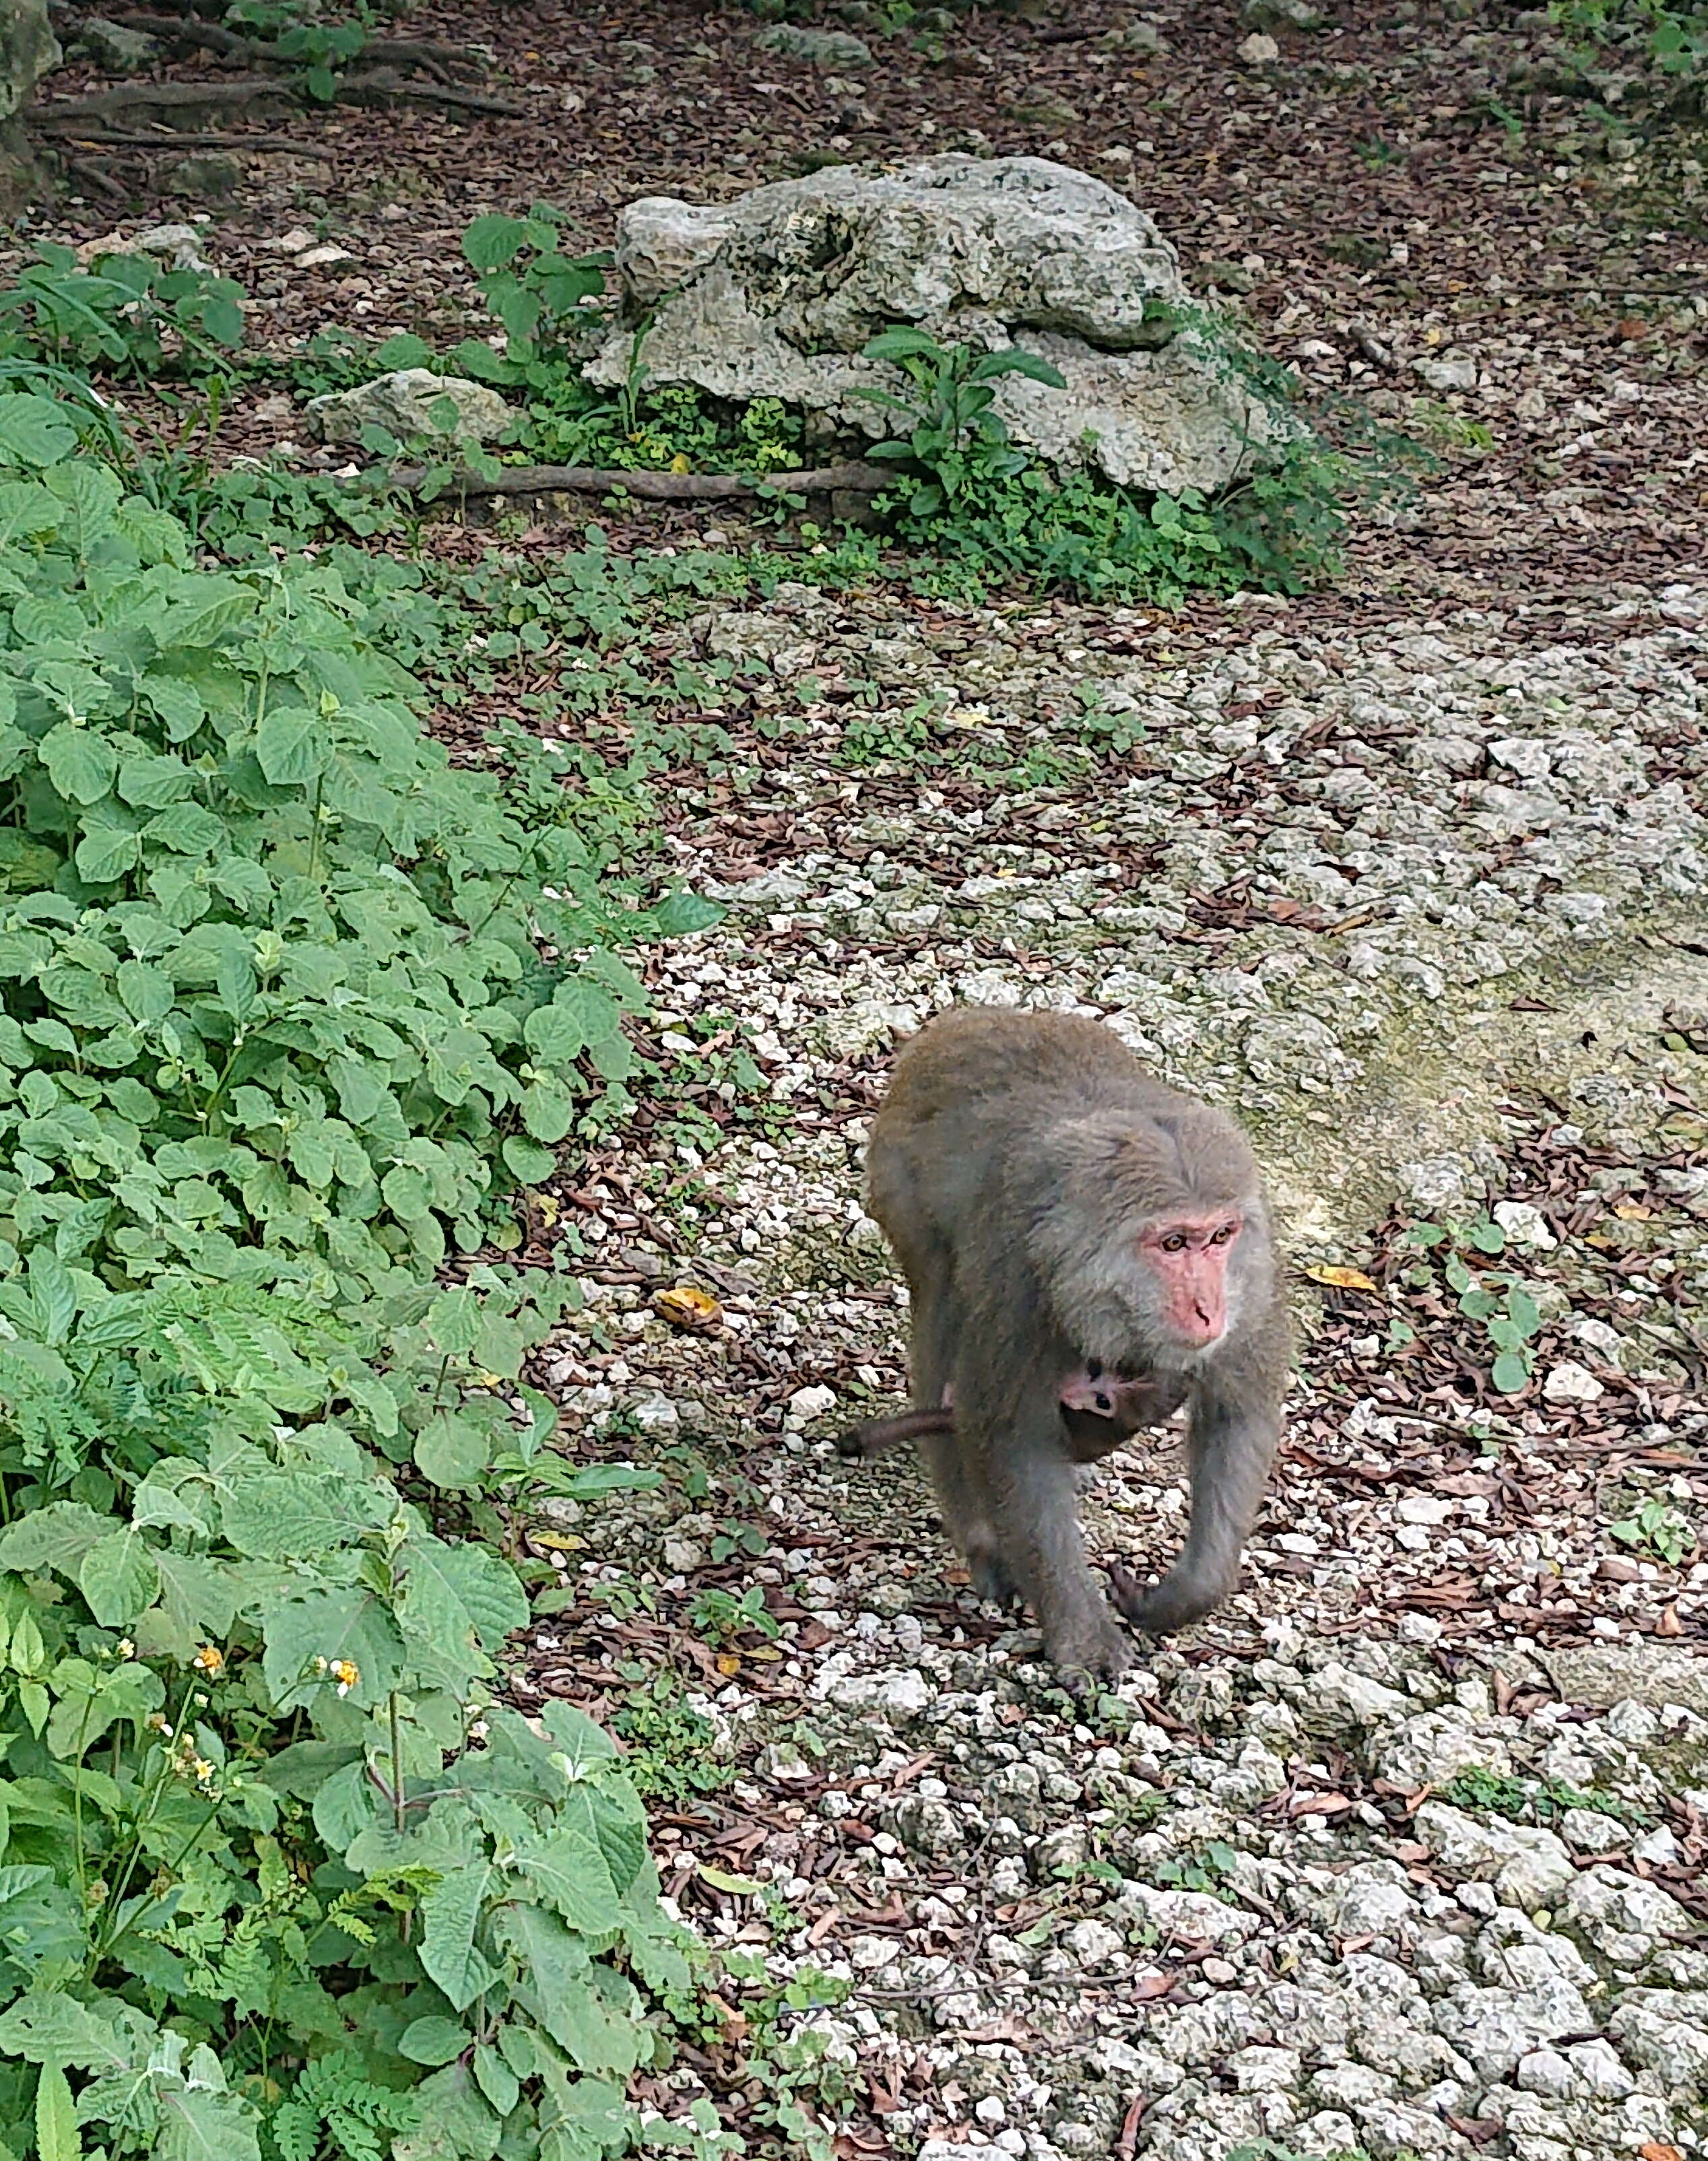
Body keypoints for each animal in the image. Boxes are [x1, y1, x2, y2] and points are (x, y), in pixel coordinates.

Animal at [865, 1002, 1288, 1677]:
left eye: (1220, 1236)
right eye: (1174, 1243)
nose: (1206, 1309)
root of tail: (978, 1018)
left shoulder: (1253, 1286)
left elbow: (1236, 1416)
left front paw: (1183, 1594)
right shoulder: (1020, 1281)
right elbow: (1011, 1438)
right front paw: (1080, 1633)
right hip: (901, 1184)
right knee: (943, 1314)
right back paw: (978, 1532)